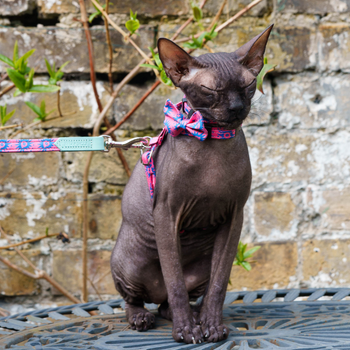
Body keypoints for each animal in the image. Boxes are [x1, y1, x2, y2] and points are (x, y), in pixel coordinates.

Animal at [110, 24, 274, 344]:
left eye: (248, 85)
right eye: (211, 90)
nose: (237, 106)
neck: (213, 140)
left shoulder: (234, 218)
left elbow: (219, 284)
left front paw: (211, 325)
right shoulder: (166, 214)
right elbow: (174, 281)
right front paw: (186, 331)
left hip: (200, 270)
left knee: (170, 301)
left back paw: (190, 314)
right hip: (128, 262)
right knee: (139, 298)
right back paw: (141, 317)